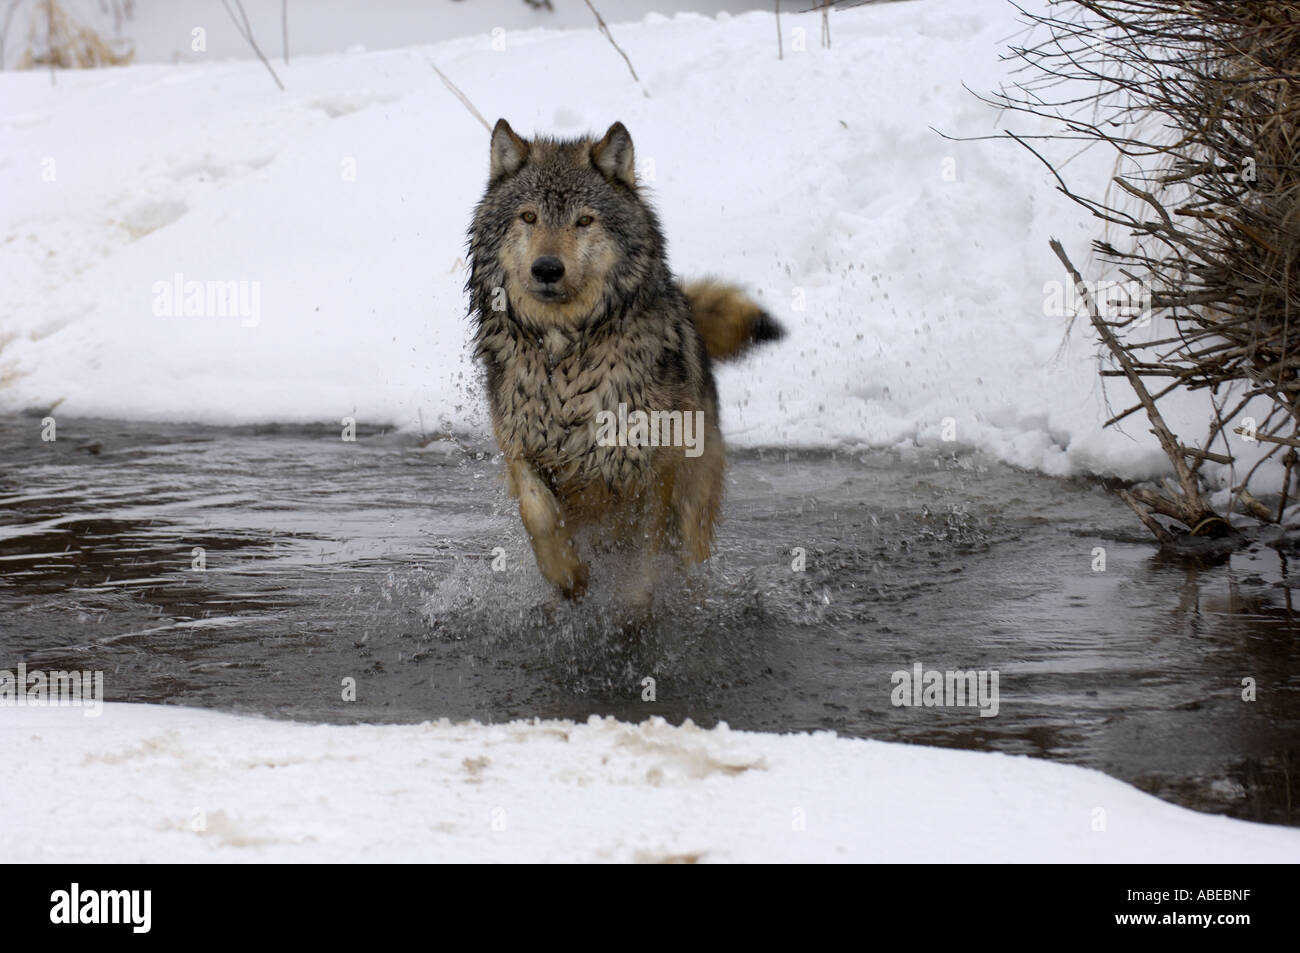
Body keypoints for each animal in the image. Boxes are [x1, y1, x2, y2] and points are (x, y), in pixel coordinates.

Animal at [467, 119, 782, 601]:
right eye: (528, 217)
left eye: (584, 220)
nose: (547, 268)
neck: (567, 356)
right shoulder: (519, 444)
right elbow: (538, 512)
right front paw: (567, 575)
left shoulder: (649, 465)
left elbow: (642, 555)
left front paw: (632, 605)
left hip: (696, 501)